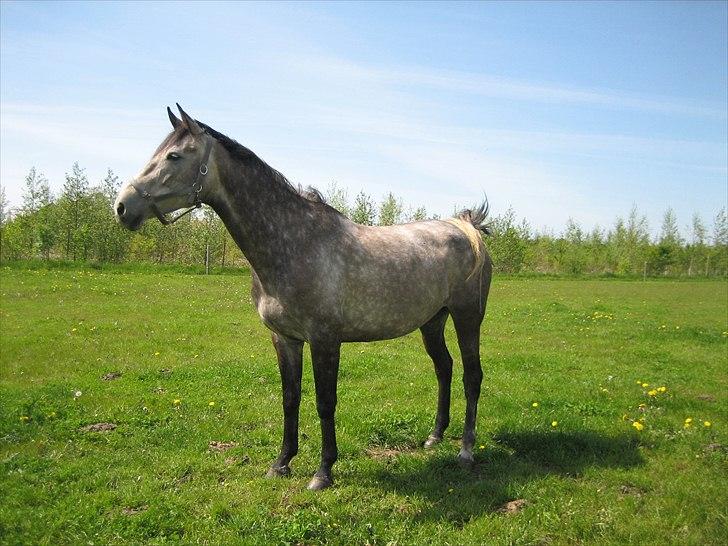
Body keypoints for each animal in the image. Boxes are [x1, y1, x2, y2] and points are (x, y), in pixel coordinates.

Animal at [115, 105, 494, 488]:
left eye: (174, 156)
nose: (122, 207)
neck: (294, 243)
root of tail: (468, 227)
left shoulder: (324, 340)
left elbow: (325, 401)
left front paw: (323, 472)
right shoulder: (285, 338)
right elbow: (290, 398)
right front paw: (281, 463)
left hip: (467, 318)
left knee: (471, 376)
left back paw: (466, 450)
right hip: (432, 321)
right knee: (444, 368)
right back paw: (434, 436)